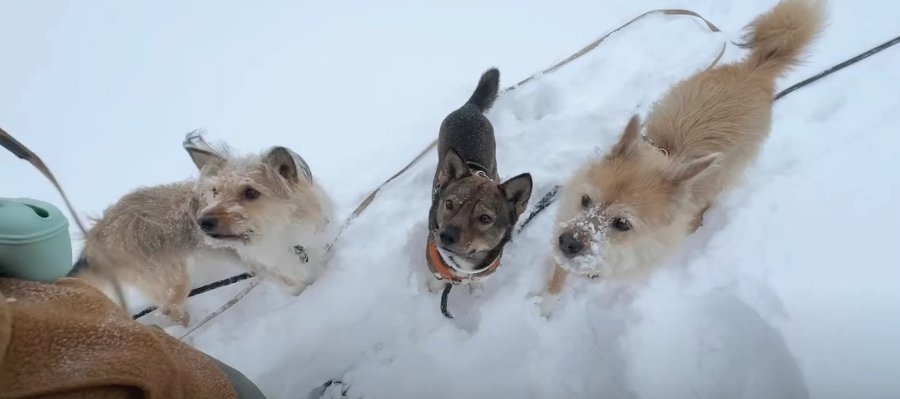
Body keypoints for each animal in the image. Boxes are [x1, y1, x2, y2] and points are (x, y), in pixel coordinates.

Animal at [72, 133, 334, 326]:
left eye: (251, 193)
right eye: (215, 192)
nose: (202, 222)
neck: (279, 232)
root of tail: (96, 234)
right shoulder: (275, 271)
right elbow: (296, 286)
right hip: (172, 280)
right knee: (170, 310)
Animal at [536, 0, 828, 310]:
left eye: (622, 224)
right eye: (585, 200)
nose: (567, 242)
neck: (667, 155)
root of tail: (756, 69)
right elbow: (560, 273)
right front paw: (545, 306)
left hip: (726, 174)